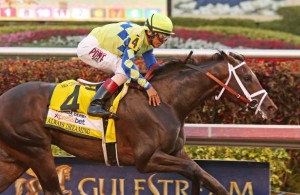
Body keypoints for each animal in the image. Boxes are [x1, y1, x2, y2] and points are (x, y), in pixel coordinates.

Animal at [0, 51, 276, 194]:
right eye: (247, 77)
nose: (271, 107)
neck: (166, 101)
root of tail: (4, 98)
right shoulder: (146, 159)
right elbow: (195, 171)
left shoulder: (176, 152)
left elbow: (211, 179)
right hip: (36, 151)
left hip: (16, 158)